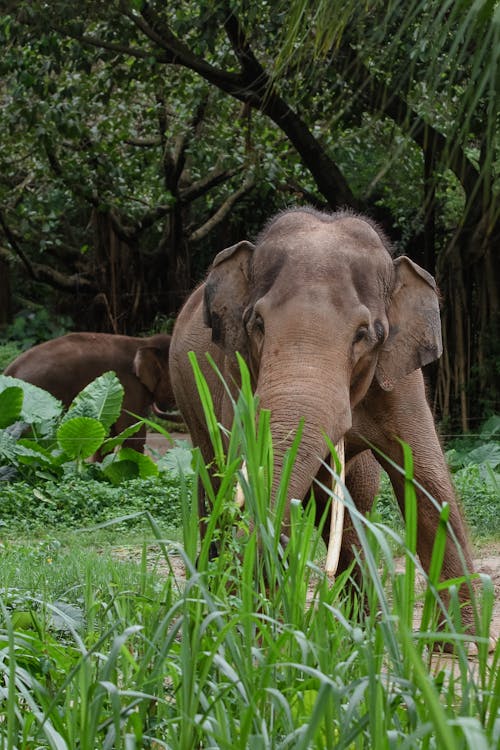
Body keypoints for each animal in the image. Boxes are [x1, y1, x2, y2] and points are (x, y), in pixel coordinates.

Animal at [169, 206, 476, 628]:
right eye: (257, 324)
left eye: (364, 334)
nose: (276, 540)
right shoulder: (233, 374)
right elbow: (246, 471)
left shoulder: (401, 379)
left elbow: (429, 487)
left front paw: (462, 641)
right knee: (214, 481)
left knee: (349, 507)